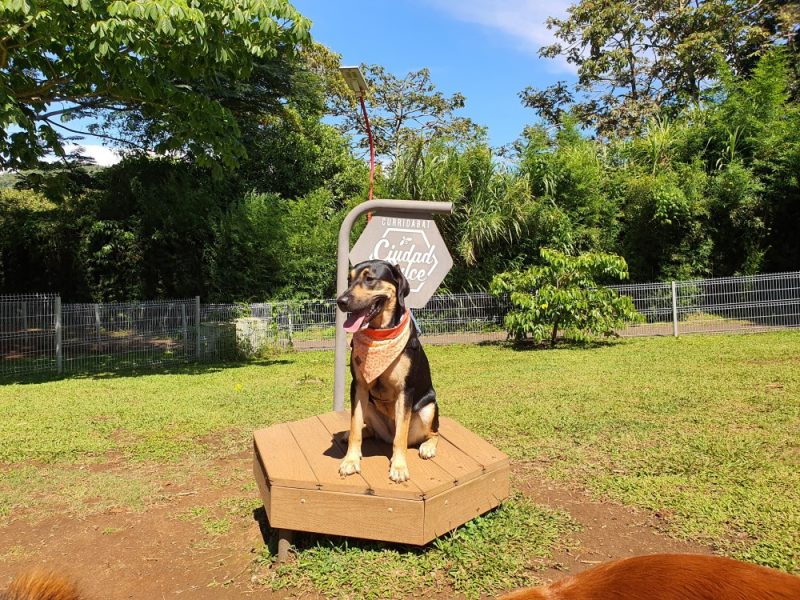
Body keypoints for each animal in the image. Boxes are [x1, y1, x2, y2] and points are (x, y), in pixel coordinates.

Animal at [336, 258, 440, 482]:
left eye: (369, 278)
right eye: (348, 280)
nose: (340, 301)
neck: (380, 333)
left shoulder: (405, 390)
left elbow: (400, 436)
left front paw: (399, 466)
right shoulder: (358, 387)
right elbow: (355, 426)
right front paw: (350, 460)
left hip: (429, 408)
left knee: (434, 433)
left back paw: (428, 446)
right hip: (369, 407)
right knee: (368, 429)